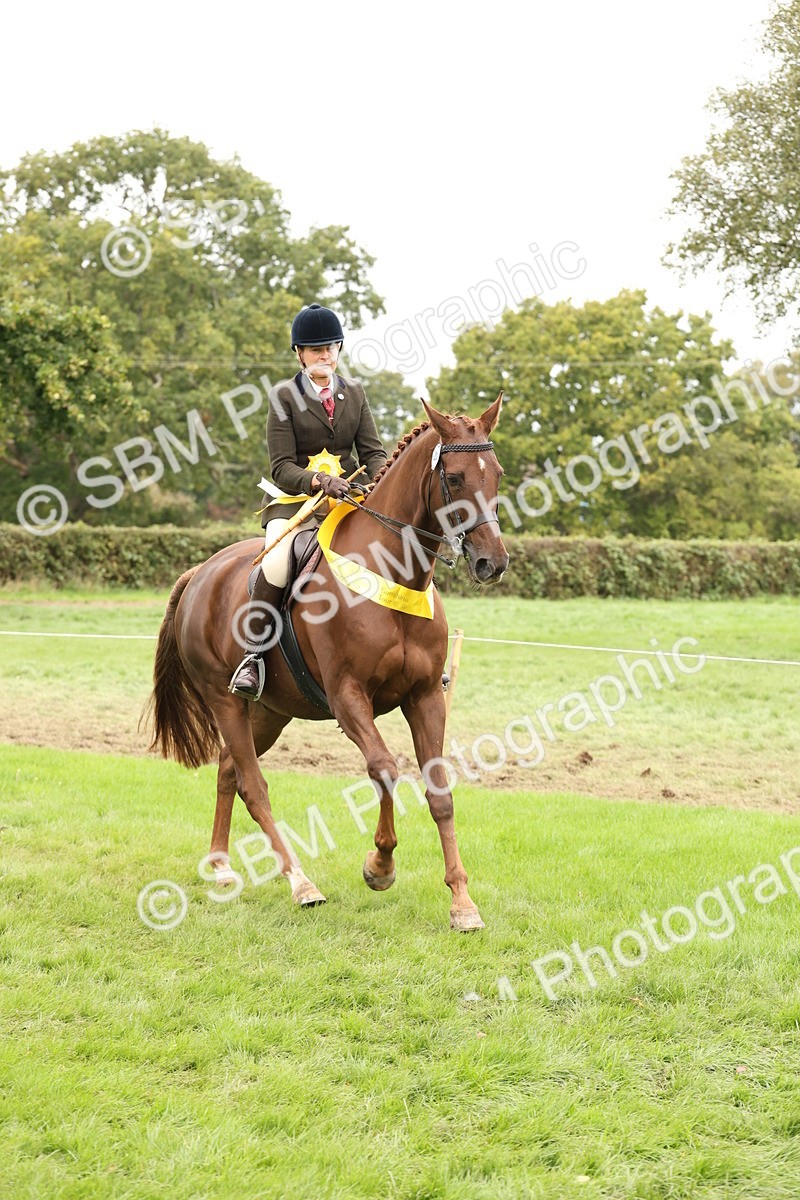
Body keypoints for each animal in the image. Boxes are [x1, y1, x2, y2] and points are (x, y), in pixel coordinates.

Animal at [145, 395, 508, 930]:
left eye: (497, 474)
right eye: (457, 478)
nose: (492, 563)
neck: (393, 573)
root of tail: (200, 573)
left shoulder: (424, 696)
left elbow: (439, 789)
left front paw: (462, 903)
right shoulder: (347, 696)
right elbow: (384, 769)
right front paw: (380, 866)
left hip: (269, 711)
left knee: (229, 770)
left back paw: (221, 867)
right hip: (223, 700)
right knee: (253, 785)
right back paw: (300, 883)